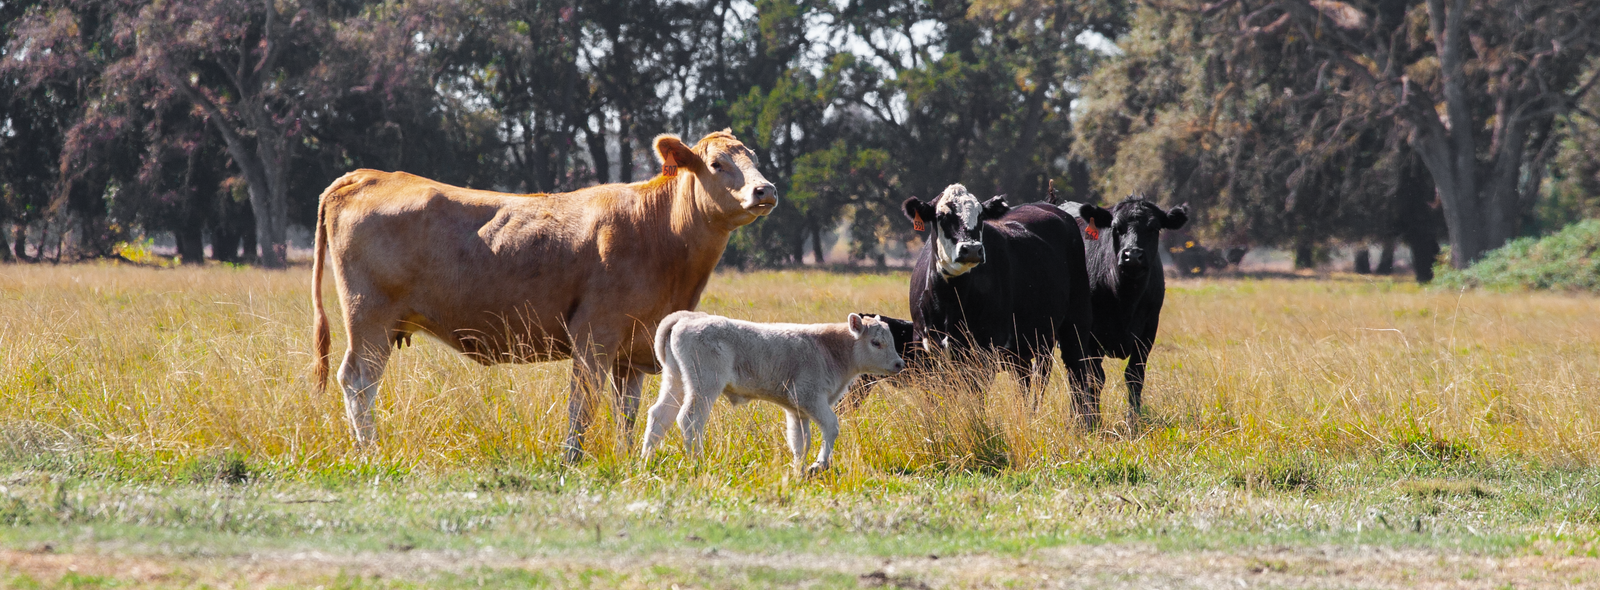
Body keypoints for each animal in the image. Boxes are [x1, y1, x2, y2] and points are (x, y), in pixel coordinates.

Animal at [310, 130, 776, 462]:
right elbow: (582, 404)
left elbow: (627, 412)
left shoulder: (633, 349)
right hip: (369, 320)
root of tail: (368, 175)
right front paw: (572, 459)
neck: (659, 233)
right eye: (717, 163)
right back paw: (369, 452)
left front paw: (628, 458)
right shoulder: (595, 334)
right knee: (358, 383)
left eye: (753, 159)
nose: (765, 190)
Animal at [641, 311, 904, 475]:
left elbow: (800, 441)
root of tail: (687, 318)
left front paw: (799, 470)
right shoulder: (811, 399)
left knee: (659, 416)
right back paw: (698, 462)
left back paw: (645, 460)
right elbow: (831, 426)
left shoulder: (798, 410)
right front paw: (818, 465)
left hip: (676, 381)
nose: (899, 364)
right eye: (876, 342)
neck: (828, 348)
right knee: (690, 419)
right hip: (704, 386)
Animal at [901, 184, 1107, 417]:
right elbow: (935, 400)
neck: (949, 303)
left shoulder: (984, 350)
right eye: (941, 216)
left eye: (981, 216)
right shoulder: (924, 349)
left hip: (1075, 322)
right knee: (1029, 380)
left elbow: (975, 400)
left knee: (1076, 375)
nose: (972, 249)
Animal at [1055, 194, 1188, 426]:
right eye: (1116, 227)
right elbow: (1094, 378)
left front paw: (1133, 420)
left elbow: (1134, 375)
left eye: (1153, 228)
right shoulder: (1090, 336)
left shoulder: (1148, 330)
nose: (1132, 255)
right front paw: (1093, 421)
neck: (1125, 298)